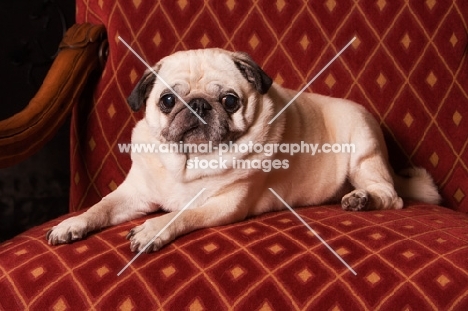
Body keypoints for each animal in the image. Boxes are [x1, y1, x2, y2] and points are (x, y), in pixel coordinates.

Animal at [45, 48, 440, 254]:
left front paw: (153, 229)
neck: (187, 163)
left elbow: (181, 214)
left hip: (363, 149)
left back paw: (364, 199)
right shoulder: (133, 195)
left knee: (391, 196)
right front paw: (72, 223)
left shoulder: (225, 204)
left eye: (230, 101)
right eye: (168, 100)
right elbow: (100, 207)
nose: (198, 105)